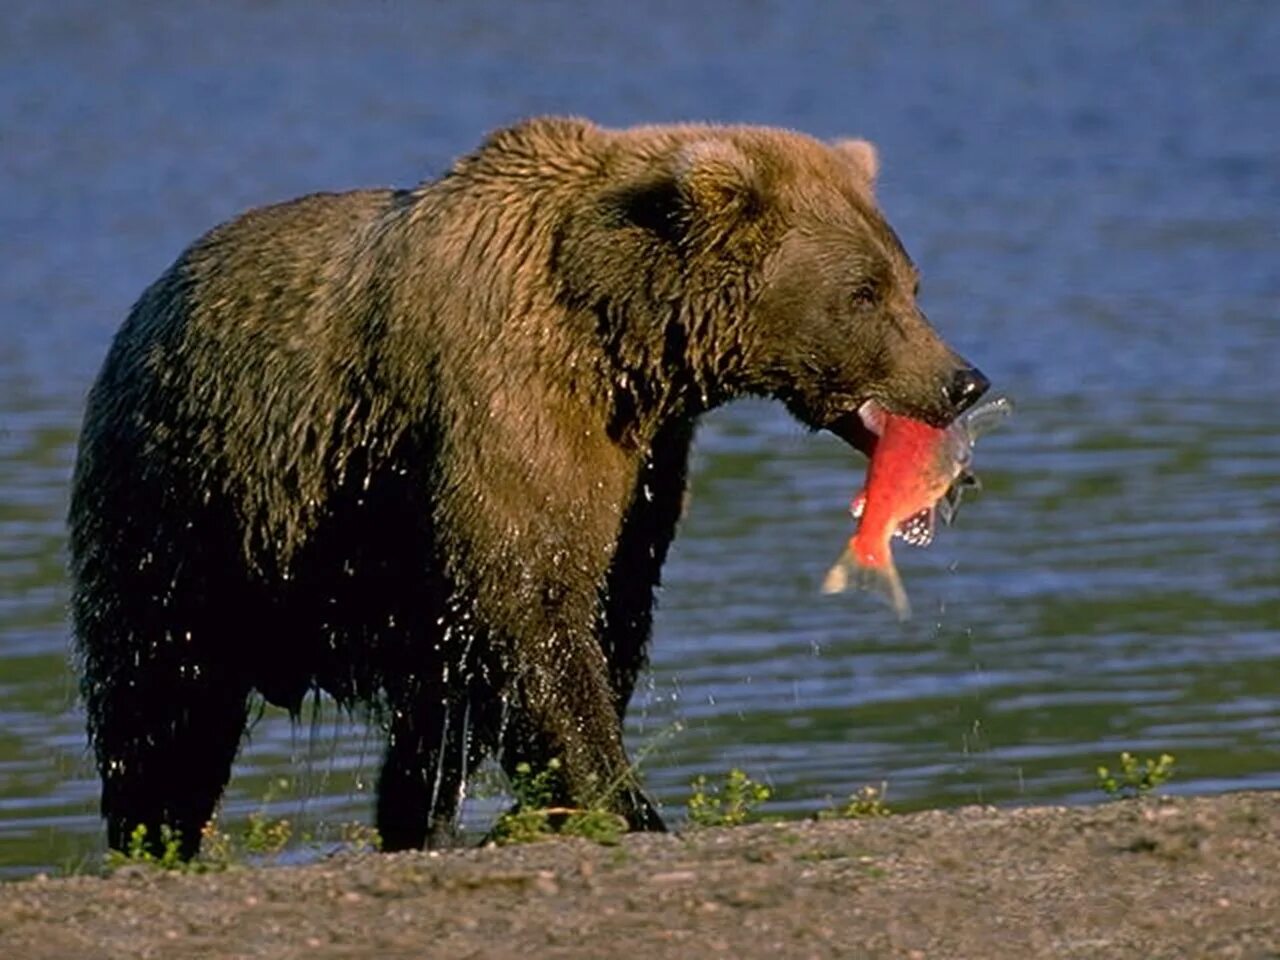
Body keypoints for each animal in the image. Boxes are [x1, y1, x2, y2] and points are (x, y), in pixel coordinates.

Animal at [70, 116, 988, 860]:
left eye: (910, 281)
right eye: (863, 292)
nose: (961, 380)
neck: (621, 335)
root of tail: (148, 300)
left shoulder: (642, 458)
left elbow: (604, 606)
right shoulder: (507, 398)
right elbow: (532, 601)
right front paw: (624, 803)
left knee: (427, 712)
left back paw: (414, 821)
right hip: (185, 504)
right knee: (162, 695)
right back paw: (156, 836)